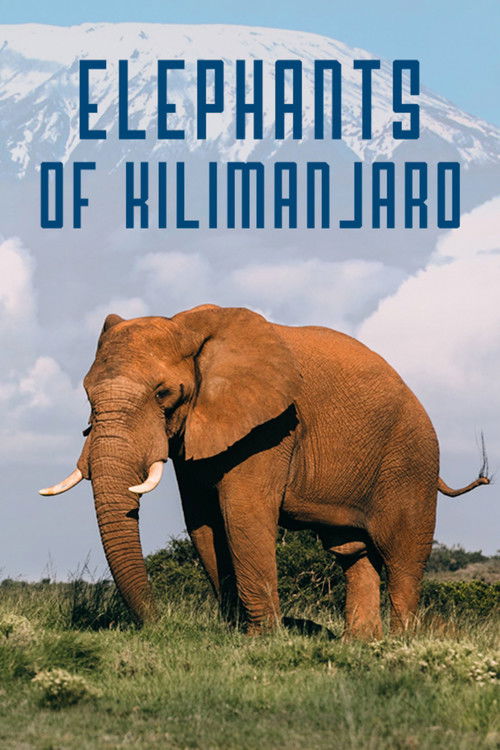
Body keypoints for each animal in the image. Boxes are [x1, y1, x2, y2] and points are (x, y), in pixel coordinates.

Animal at [39, 304, 489, 638]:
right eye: (86, 394)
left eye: (164, 393)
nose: (157, 625)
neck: (188, 327)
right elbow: (203, 521)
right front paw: (235, 632)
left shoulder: (271, 427)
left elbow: (243, 512)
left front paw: (262, 639)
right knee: (353, 553)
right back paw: (360, 645)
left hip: (410, 461)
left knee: (402, 556)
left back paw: (400, 644)